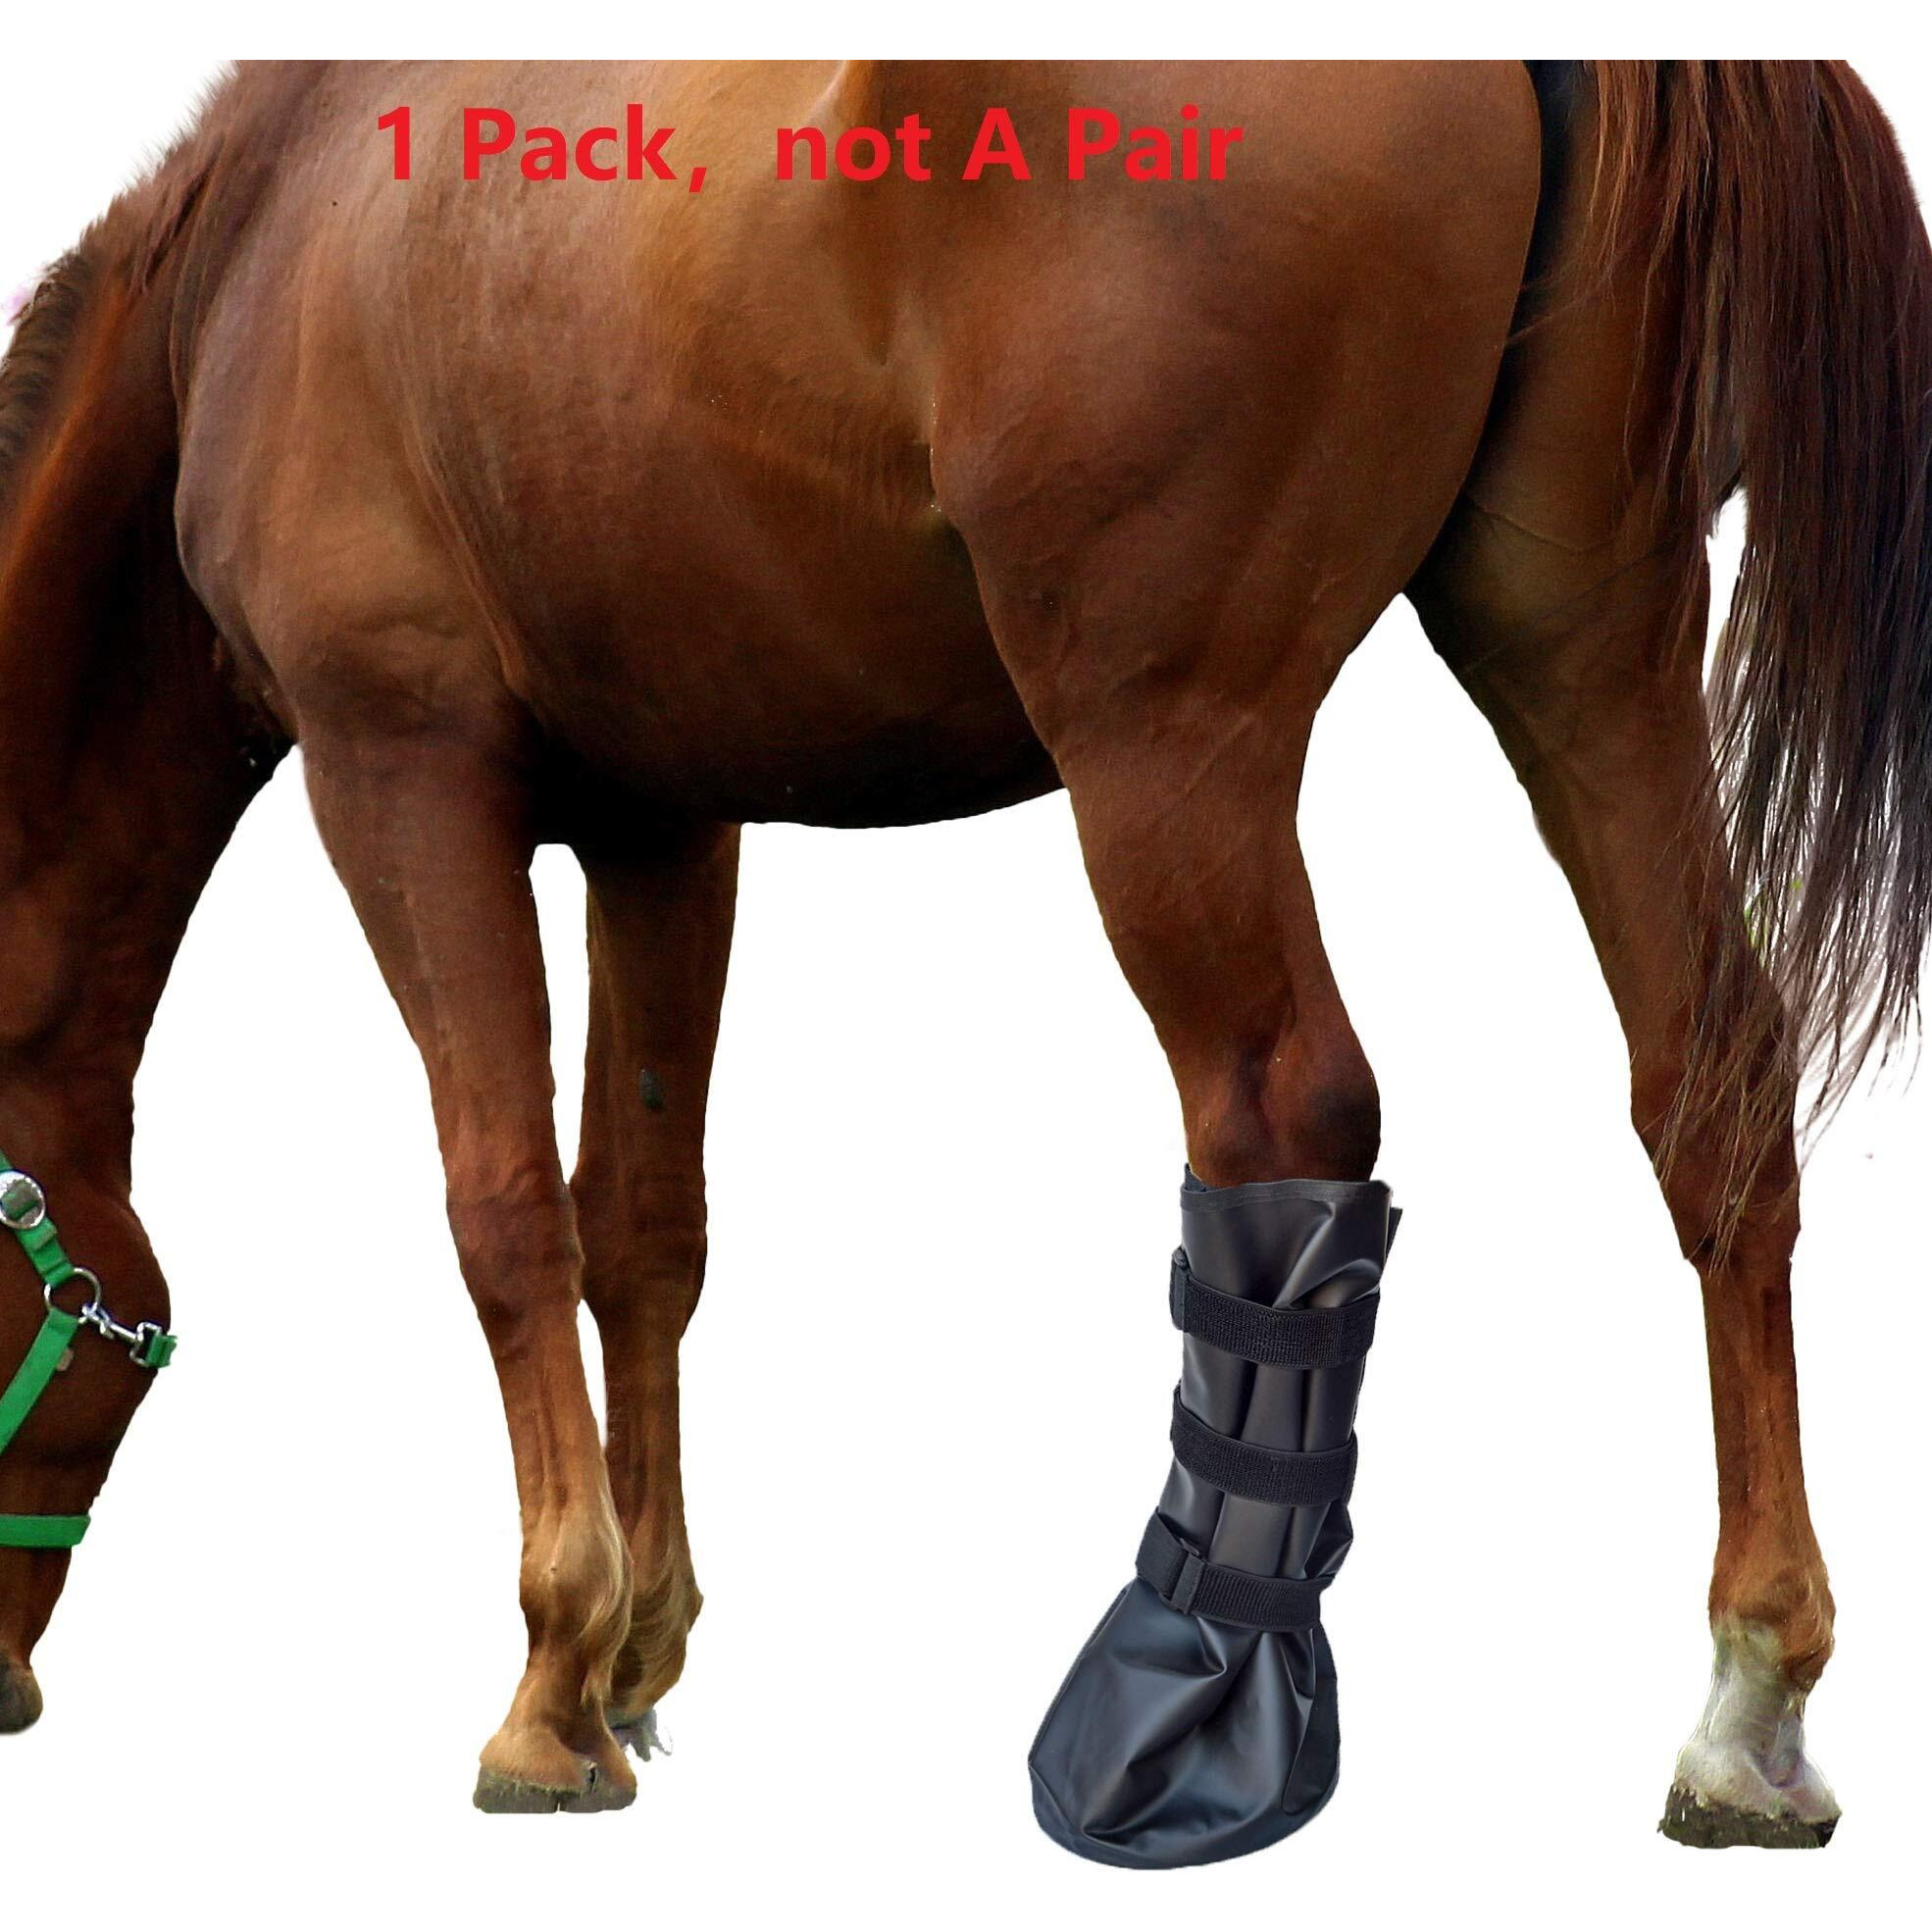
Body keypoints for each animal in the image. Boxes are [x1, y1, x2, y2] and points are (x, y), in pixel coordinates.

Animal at [1, 58, 1926, 1857]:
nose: (4, 1687)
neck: (264, 252)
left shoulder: (396, 772)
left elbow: (505, 1216)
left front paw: (554, 1684)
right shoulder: (662, 822)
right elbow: (642, 1226)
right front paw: (639, 1652)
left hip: (1169, 743)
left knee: (1281, 1117)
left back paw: (1192, 1691)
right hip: (1582, 653)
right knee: (1709, 1087)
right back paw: (1748, 1704)